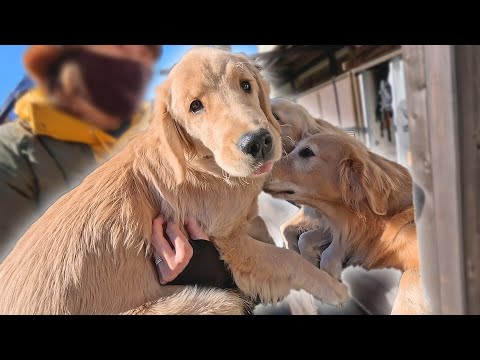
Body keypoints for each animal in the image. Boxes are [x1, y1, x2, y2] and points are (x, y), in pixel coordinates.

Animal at [0, 48, 348, 316]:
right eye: (195, 106)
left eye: (245, 85)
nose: (258, 142)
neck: (202, 165)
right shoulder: (228, 242)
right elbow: (286, 260)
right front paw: (332, 288)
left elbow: (262, 225)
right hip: (212, 301)